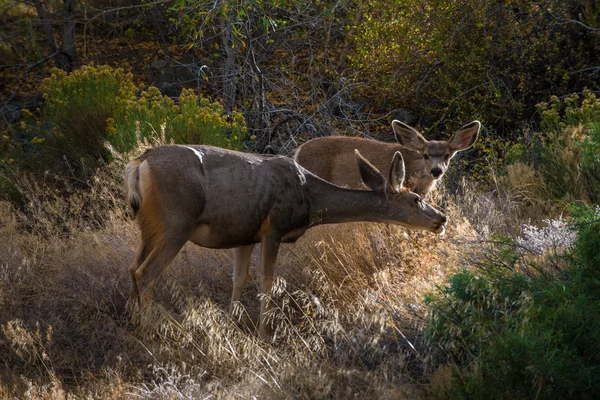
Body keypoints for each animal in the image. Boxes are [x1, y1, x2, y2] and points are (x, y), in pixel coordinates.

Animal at [124, 144, 448, 338]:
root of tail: (138, 164)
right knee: (146, 272)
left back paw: (130, 322)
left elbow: (239, 279)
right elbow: (267, 281)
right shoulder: (274, 228)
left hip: (148, 226)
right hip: (176, 223)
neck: (311, 198)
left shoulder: (246, 233)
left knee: (132, 268)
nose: (441, 219)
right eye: (416, 199)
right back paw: (146, 330)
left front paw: (232, 325)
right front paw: (264, 334)